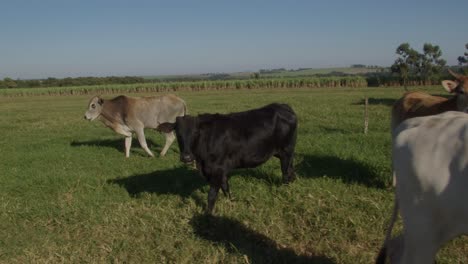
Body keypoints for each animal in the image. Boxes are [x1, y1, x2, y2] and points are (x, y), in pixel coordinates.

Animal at [157, 102, 296, 213]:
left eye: (196, 132)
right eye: (178, 133)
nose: (186, 157)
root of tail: (282, 105)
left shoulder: (216, 169)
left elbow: (212, 195)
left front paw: (207, 215)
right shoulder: (220, 170)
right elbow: (226, 188)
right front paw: (232, 202)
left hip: (286, 151)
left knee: (286, 173)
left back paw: (285, 191)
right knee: (291, 171)